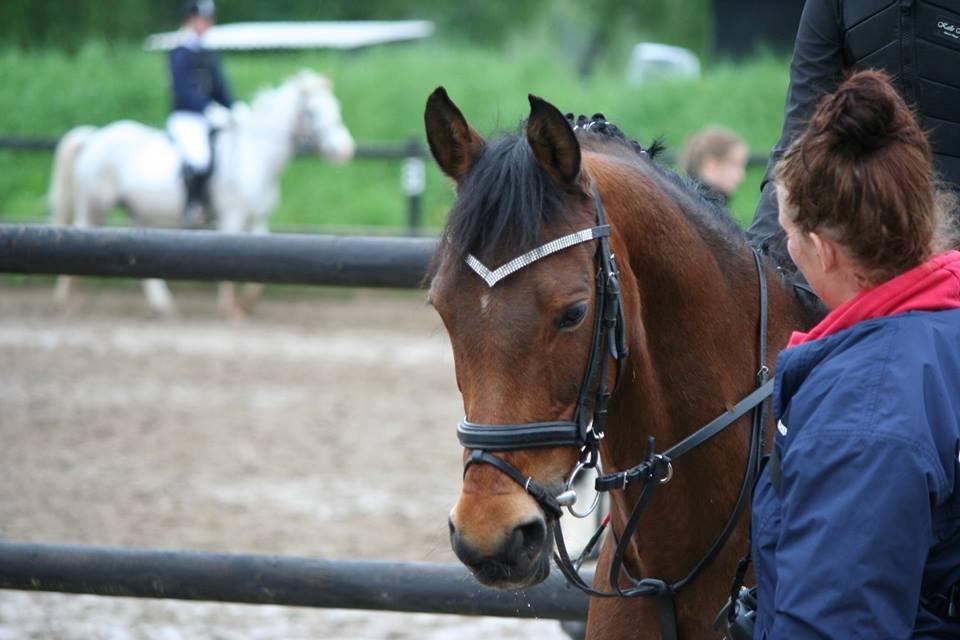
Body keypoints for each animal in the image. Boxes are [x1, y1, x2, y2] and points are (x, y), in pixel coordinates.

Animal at [49, 70, 356, 318]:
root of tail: (93, 136)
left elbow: (261, 273)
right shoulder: (232, 217)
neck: (256, 156)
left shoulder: (257, 218)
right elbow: (231, 263)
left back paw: (163, 305)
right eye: (313, 111)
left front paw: (247, 305)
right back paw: (66, 300)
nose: (344, 150)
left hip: (138, 211)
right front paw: (229, 308)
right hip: (94, 204)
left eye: (337, 107)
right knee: (78, 233)